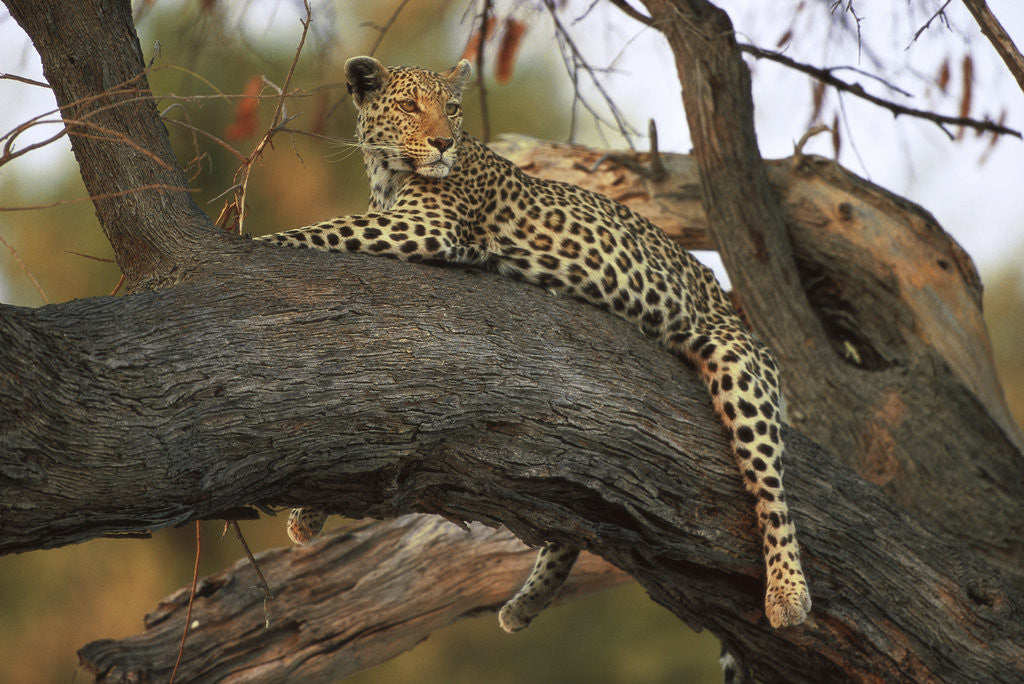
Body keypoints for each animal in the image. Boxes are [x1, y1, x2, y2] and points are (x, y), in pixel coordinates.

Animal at [259, 56, 811, 632]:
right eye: (409, 105)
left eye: (452, 108)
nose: (442, 142)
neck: (386, 176)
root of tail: (727, 303)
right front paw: (307, 513)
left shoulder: (424, 226)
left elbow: (325, 229)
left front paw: (249, 240)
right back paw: (526, 602)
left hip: (738, 364)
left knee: (771, 489)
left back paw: (788, 593)